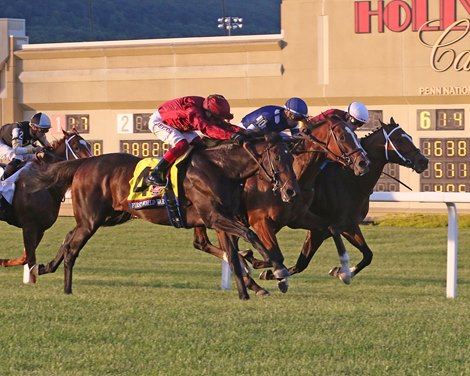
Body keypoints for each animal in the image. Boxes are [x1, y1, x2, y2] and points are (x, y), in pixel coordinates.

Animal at [0, 129, 92, 280]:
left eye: (89, 145)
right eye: (77, 147)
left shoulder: (40, 228)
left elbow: (25, 258)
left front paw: (4, 261)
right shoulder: (29, 226)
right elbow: (29, 258)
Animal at [29, 134, 300, 302]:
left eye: (292, 156)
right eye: (278, 157)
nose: (291, 191)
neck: (221, 169)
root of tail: (85, 163)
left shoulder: (221, 221)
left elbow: (233, 256)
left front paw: (246, 292)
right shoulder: (214, 217)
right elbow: (250, 234)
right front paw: (278, 271)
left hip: (110, 216)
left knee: (67, 238)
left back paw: (44, 267)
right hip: (91, 220)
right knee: (72, 248)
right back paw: (66, 288)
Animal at [191, 113, 370, 296]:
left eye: (355, 134)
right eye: (342, 137)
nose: (363, 162)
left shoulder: (300, 218)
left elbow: (330, 230)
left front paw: (344, 272)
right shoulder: (260, 221)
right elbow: (275, 254)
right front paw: (273, 273)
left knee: (203, 243)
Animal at [253, 117, 430, 288]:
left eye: (410, 137)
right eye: (399, 139)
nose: (423, 161)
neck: (350, 180)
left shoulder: (348, 225)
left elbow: (368, 255)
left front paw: (341, 272)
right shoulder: (323, 229)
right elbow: (298, 262)